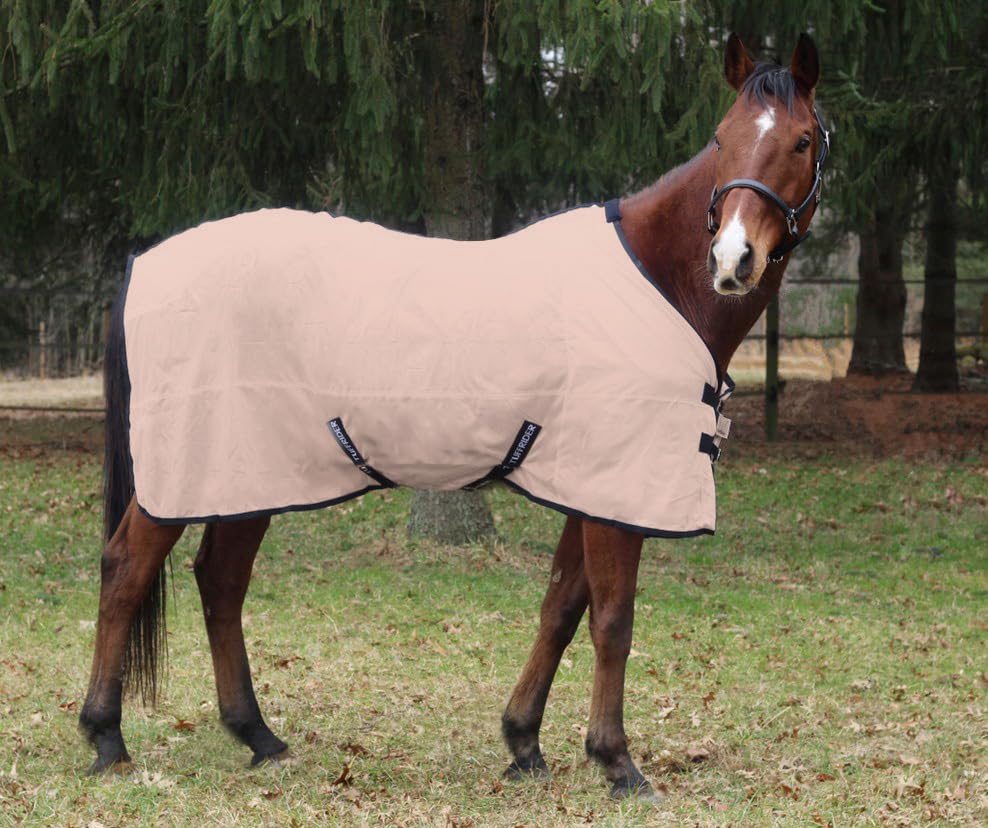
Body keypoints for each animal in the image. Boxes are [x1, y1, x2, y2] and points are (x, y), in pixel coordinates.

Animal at [80, 33, 827, 802]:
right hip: (189, 470)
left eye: (801, 140)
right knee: (127, 567)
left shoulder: (589, 485)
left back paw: (258, 736)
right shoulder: (619, 490)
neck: (658, 278)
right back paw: (107, 738)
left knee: (220, 580)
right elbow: (613, 620)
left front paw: (524, 744)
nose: (732, 259)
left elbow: (562, 607)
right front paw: (618, 763)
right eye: (722, 138)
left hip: (251, 472)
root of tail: (144, 264)